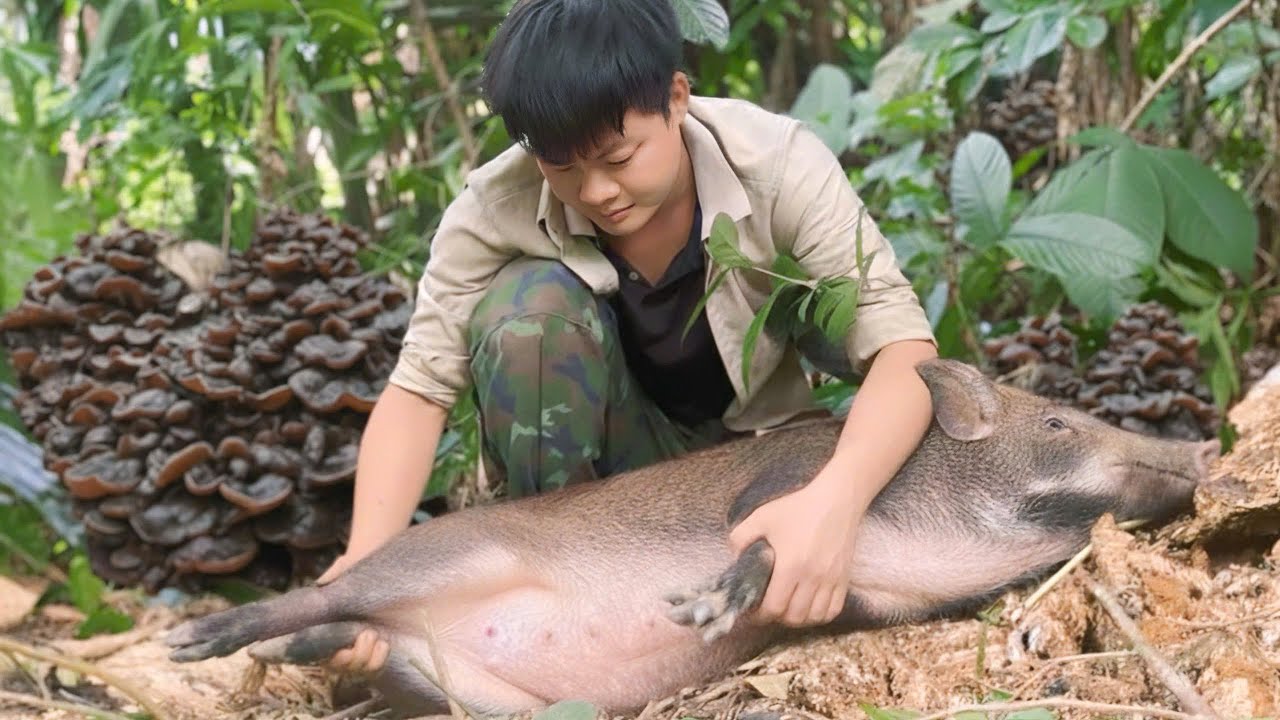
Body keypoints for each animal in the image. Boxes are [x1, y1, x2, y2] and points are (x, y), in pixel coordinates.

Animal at [164, 359, 1219, 717]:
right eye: (1058, 423)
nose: (1205, 446)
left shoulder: (876, 598)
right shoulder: (781, 488)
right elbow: (757, 541)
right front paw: (703, 609)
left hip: (483, 694)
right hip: (434, 555)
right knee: (327, 591)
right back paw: (193, 643)